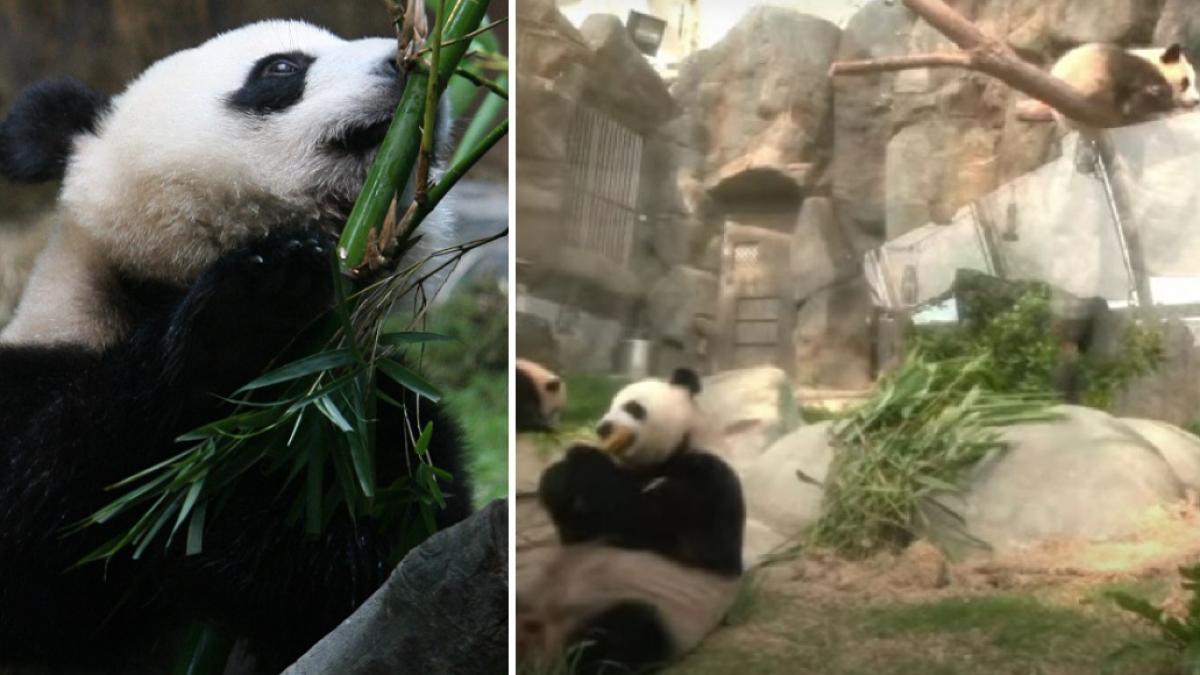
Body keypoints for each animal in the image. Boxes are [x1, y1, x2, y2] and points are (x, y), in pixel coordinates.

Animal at [0, 20, 471, 672]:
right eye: (280, 68)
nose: (408, 62)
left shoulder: (379, 402)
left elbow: (400, 531)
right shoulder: (42, 369)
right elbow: (68, 522)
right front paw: (250, 307)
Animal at [517, 368, 745, 675]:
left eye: (633, 407)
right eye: (608, 407)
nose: (603, 428)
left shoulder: (711, 479)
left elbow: (659, 524)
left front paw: (584, 459)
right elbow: (582, 532)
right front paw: (557, 480)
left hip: (657, 610)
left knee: (624, 634)